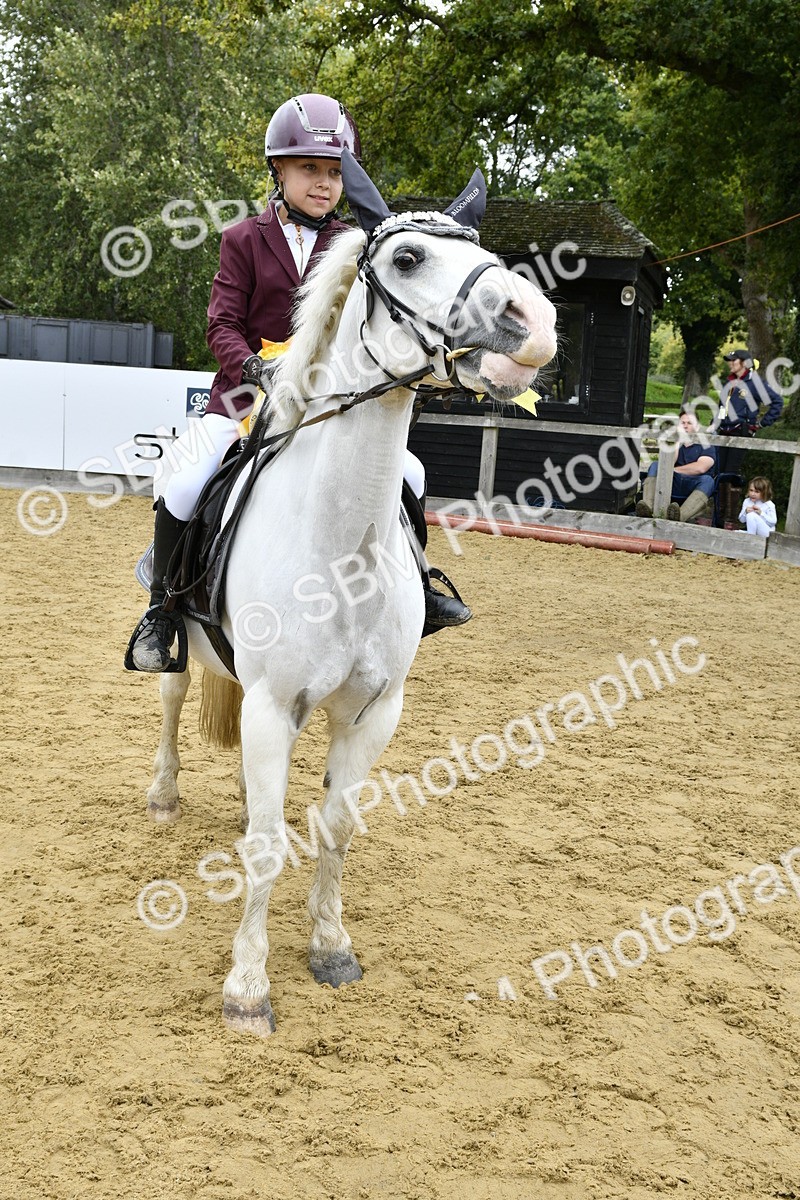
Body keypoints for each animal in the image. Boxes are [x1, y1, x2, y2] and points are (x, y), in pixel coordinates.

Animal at [141, 150, 557, 1036]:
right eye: (407, 258)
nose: (533, 321)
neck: (340, 546)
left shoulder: (373, 710)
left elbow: (334, 825)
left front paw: (330, 948)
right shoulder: (272, 705)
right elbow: (268, 848)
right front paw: (248, 988)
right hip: (183, 650)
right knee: (171, 697)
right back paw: (163, 793)